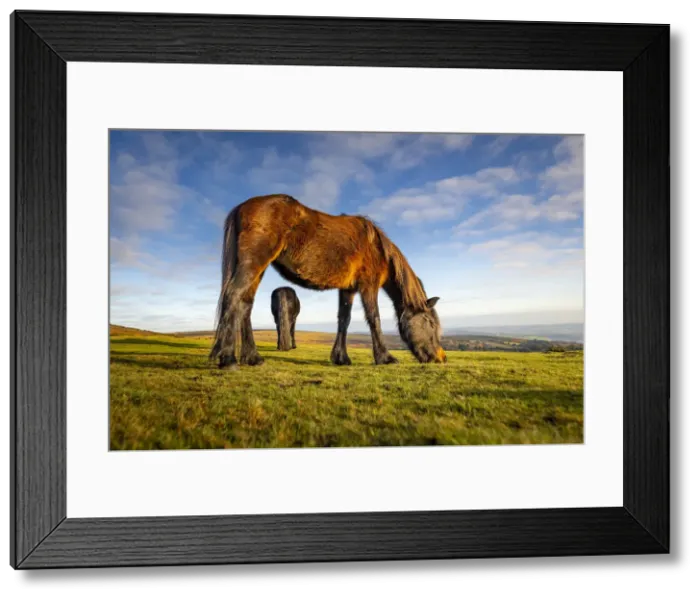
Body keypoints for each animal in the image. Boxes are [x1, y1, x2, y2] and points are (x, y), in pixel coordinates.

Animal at [209, 194, 446, 369]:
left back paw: (252, 358)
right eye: (430, 323)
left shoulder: (348, 289)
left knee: (245, 305)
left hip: (258, 269)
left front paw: (340, 357)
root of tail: (242, 207)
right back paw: (228, 359)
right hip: (253, 264)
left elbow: (344, 319)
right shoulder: (368, 286)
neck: (378, 248)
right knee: (233, 295)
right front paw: (385, 358)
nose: (441, 357)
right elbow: (374, 318)